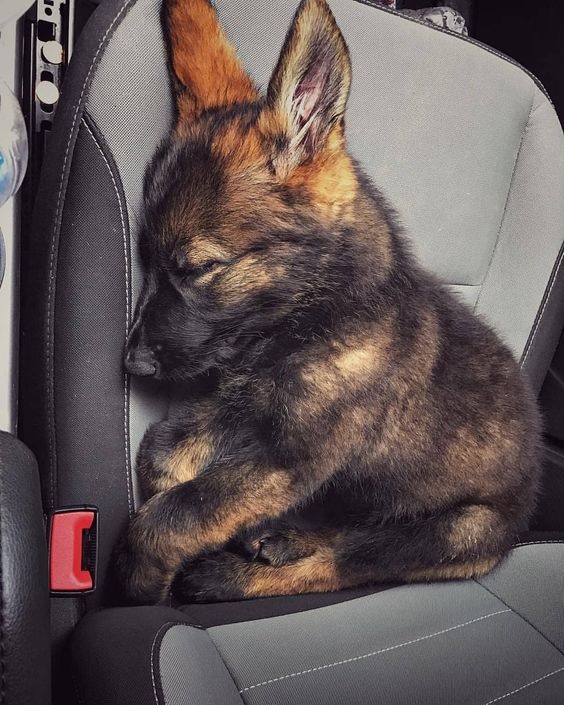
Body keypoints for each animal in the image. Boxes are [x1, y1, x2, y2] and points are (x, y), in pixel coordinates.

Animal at [113, 0, 536, 604]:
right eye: (144, 258)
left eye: (198, 268)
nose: (134, 364)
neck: (316, 317)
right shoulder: (243, 407)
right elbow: (163, 452)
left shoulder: (296, 457)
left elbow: (184, 511)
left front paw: (141, 572)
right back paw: (280, 537)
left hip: (457, 530)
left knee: (346, 562)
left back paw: (229, 576)